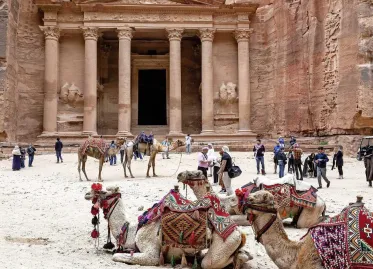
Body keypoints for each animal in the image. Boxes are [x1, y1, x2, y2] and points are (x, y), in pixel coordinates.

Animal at [82, 184, 248, 268]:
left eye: (102, 191)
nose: (87, 194)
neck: (132, 230)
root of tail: (237, 231)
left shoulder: (151, 253)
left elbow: (117, 256)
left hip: (226, 240)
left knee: (208, 263)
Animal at [176, 171, 324, 227]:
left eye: (195, 173)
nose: (179, 174)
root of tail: (321, 201)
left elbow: (235, 219)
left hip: (313, 209)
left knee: (303, 224)